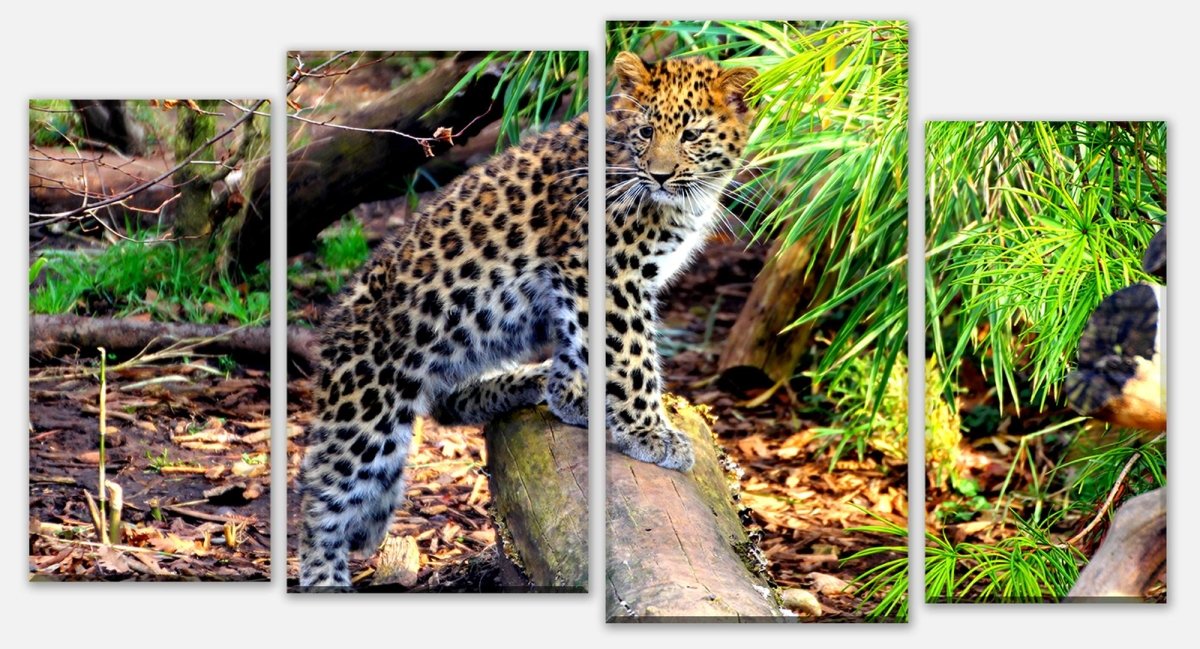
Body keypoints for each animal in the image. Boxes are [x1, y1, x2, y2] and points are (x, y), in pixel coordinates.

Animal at [297, 52, 756, 589]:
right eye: (646, 131)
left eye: (691, 134)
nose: (660, 176)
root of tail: (335, 322)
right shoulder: (607, 273)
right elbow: (629, 354)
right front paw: (648, 433)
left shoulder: (583, 286)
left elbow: (584, 345)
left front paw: (573, 397)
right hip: (369, 414)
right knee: (321, 497)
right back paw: (324, 575)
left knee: (446, 404)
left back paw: (527, 381)